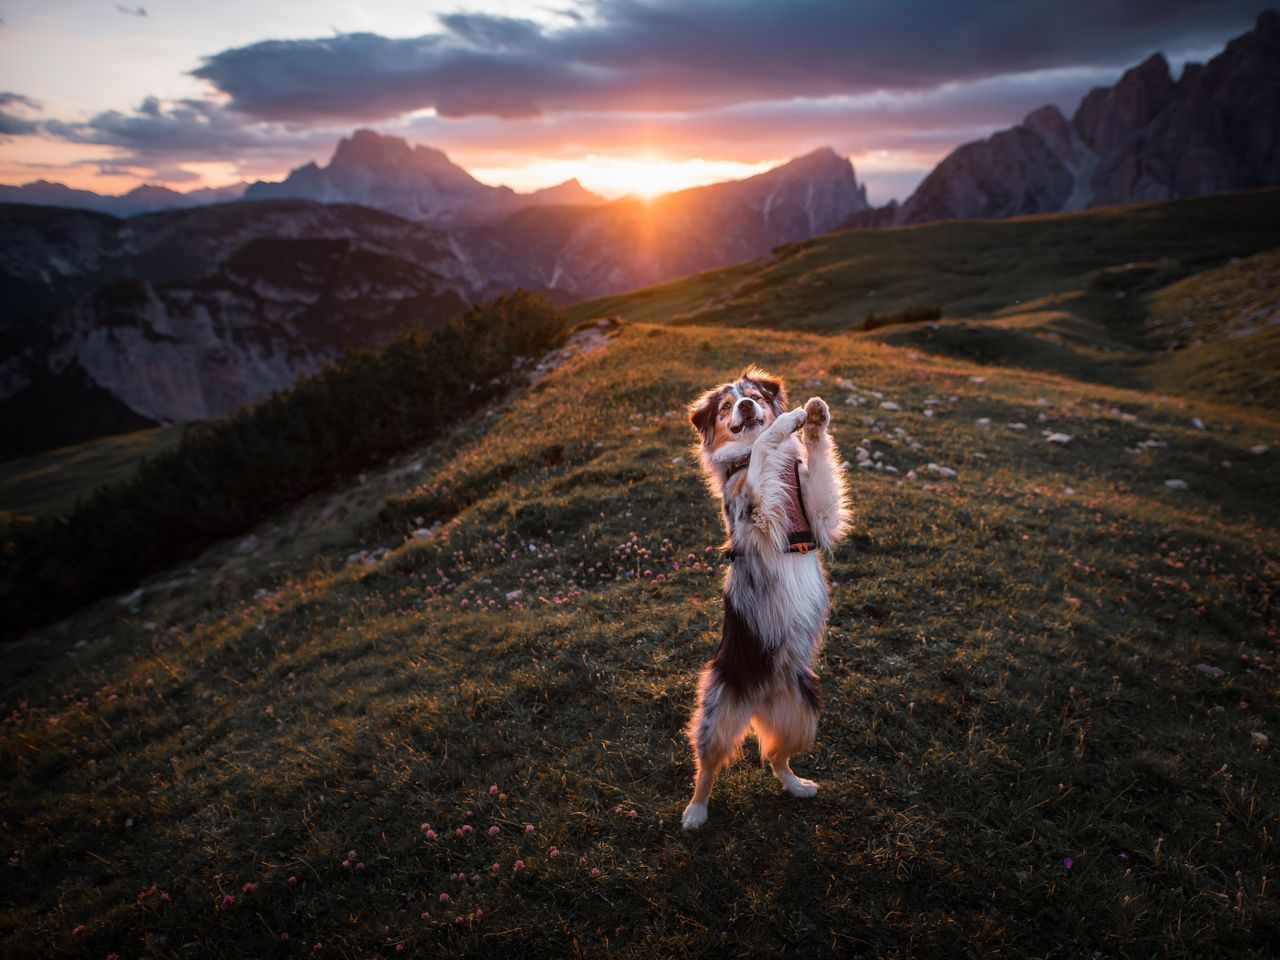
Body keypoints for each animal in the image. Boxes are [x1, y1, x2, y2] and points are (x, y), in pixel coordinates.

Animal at [680, 363, 849, 829]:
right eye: (725, 407)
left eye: (754, 395)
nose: (745, 405)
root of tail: (758, 702)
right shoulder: (756, 513)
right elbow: (759, 453)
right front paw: (786, 421)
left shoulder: (820, 515)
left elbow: (820, 465)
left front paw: (815, 419)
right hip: (716, 712)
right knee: (707, 766)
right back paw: (695, 812)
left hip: (804, 714)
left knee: (775, 758)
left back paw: (798, 786)